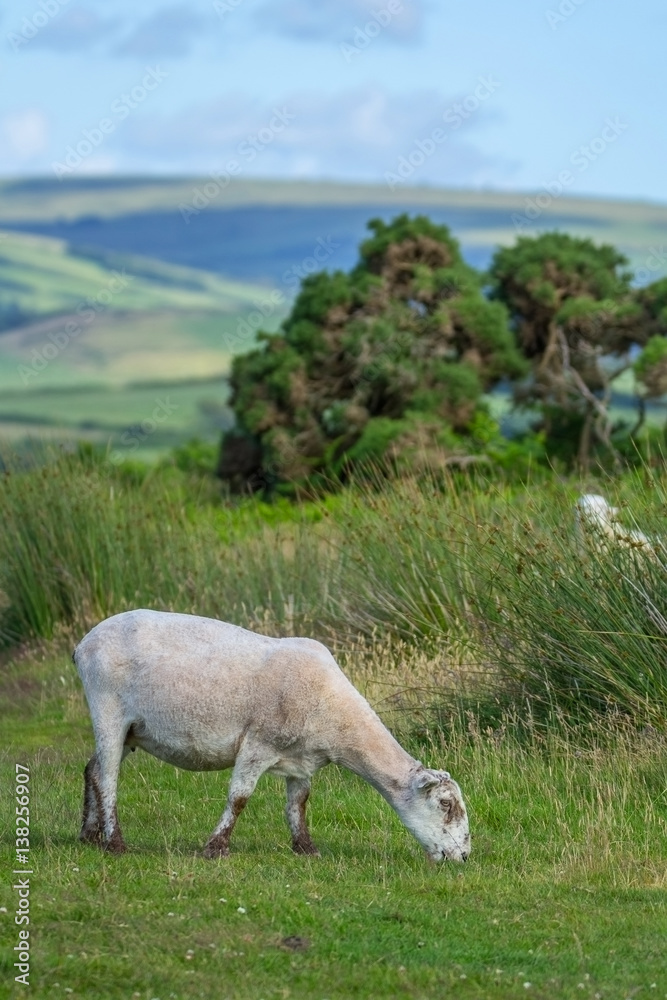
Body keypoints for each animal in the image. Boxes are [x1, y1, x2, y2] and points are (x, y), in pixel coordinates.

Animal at [73, 609, 470, 863]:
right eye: (446, 805)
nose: (464, 856)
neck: (336, 717)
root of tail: (84, 644)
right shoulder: (258, 743)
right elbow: (239, 798)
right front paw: (216, 848)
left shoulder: (302, 760)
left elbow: (299, 803)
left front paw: (306, 848)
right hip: (108, 709)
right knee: (108, 777)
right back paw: (115, 844)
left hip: (131, 730)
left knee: (92, 768)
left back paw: (89, 836)